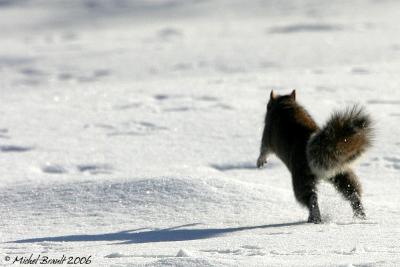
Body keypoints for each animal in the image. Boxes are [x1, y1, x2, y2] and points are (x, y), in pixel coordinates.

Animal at [258, 90, 374, 224]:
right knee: (352, 191)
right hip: (340, 171)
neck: (285, 104)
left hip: (302, 175)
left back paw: (314, 217)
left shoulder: (267, 133)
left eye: (268, 105)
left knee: (310, 198)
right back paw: (360, 214)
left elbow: (264, 149)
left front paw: (260, 160)